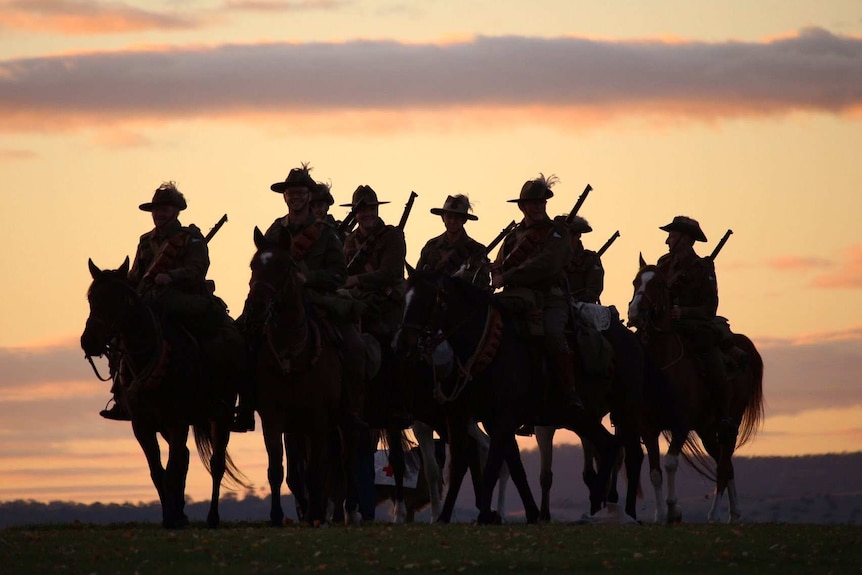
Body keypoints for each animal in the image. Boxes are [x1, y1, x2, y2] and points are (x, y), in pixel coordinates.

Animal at [81, 258, 246, 528]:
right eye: (91, 298)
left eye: (121, 298)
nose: (90, 341)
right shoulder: (142, 425)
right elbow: (158, 471)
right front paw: (171, 516)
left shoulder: (177, 421)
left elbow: (171, 470)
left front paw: (172, 518)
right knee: (186, 458)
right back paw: (181, 513)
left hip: (219, 416)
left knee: (216, 463)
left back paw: (212, 517)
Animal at [245, 227, 360, 528]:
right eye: (253, 265)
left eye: (283, 266)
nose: (256, 307)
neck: (291, 350)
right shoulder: (274, 416)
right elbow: (277, 467)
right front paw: (276, 516)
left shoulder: (318, 416)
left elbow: (316, 468)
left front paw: (318, 514)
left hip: (345, 416)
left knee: (346, 457)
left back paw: (348, 511)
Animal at [394, 270, 616, 520]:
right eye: (405, 299)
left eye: (427, 300)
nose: (401, 343)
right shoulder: (462, 417)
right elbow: (467, 463)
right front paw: (445, 517)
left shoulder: (500, 420)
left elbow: (492, 466)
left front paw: (485, 515)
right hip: (576, 418)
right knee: (608, 445)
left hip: (584, 413)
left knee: (609, 445)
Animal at [624, 258, 768, 524]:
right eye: (635, 281)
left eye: (659, 284)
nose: (635, 312)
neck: (663, 366)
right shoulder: (649, 429)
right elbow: (655, 472)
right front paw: (660, 515)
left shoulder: (680, 425)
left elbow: (670, 463)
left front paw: (673, 510)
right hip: (706, 430)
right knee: (726, 463)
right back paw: (734, 514)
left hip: (728, 424)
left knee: (724, 463)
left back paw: (715, 514)